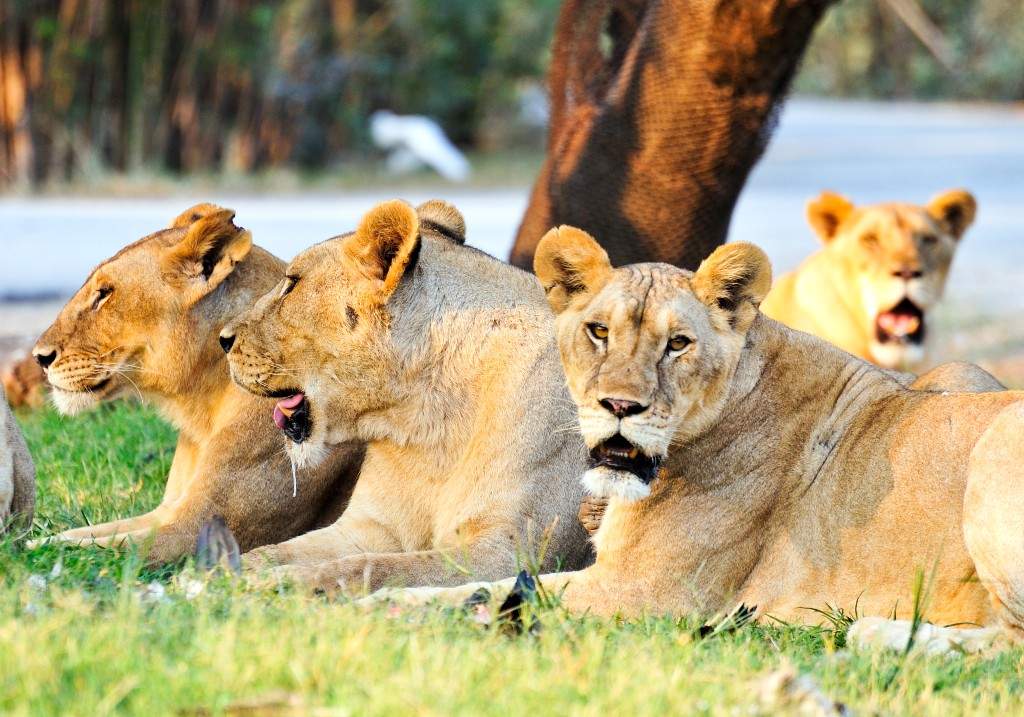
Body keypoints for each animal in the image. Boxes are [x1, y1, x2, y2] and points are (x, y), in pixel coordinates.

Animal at [29, 204, 363, 563]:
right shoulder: (164, 511)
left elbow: (89, 549)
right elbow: (80, 534)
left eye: (104, 294)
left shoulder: (196, 530)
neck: (201, 409)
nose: (38, 357)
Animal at [219, 199, 592, 592]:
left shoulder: (510, 553)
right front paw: (221, 571)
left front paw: (285, 582)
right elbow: (279, 550)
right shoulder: (369, 527)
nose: (223, 339)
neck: (424, 417)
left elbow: (373, 568)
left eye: (291, 284)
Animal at [366, 230, 1024, 650]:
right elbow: (482, 588)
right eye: (598, 332)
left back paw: (873, 634)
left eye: (677, 344)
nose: (619, 407)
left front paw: (374, 608)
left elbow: (475, 591)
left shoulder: (648, 594)